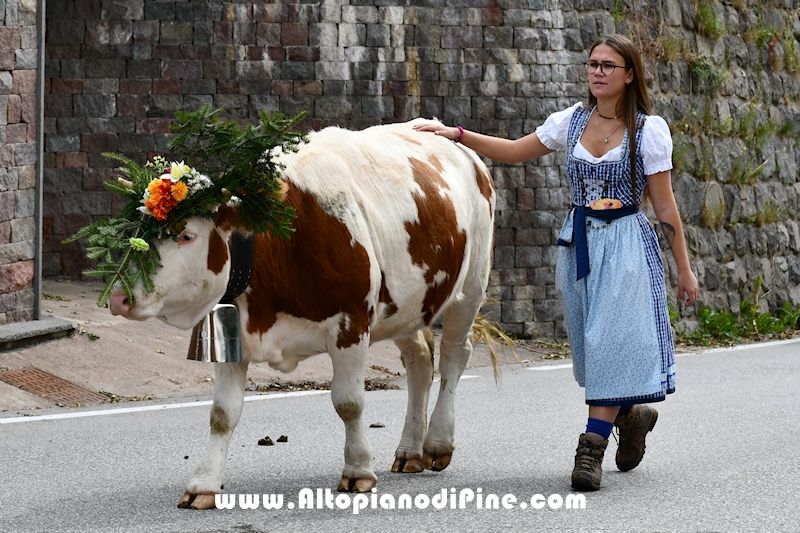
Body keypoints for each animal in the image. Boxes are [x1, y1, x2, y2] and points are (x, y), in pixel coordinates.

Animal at [106, 118, 494, 510]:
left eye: (187, 235)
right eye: (139, 232)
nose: (120, 297)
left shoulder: (352, 323)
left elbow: (349, 402)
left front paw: (358, 470)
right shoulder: (236, 333)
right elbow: (222, 414)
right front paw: (204, 484)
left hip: (471, 283)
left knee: (454, 356)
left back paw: (437, 443)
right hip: (407, 304)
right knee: (420, 360)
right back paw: (410, 450)